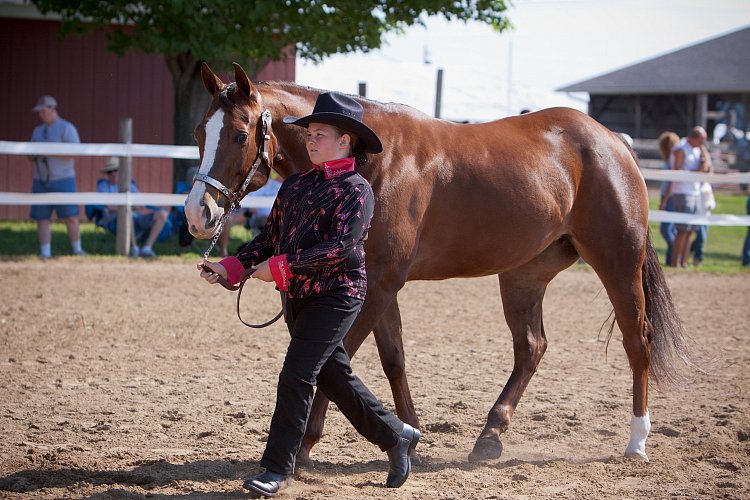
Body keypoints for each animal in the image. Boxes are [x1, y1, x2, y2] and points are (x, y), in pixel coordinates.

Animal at [187, 61, 692, 464]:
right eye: (197, 135)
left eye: (239, 134)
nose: (198, 214)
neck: (371, 161)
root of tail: (613, 142)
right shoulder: (379, 286)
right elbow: (393, 358)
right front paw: (409, 432)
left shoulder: (377, 285)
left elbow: (337, 358)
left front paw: (307, 444)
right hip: (524, 275)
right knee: (531, 347)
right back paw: (489, 437)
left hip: (617, 263)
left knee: (637, 342)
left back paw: (637, 442)